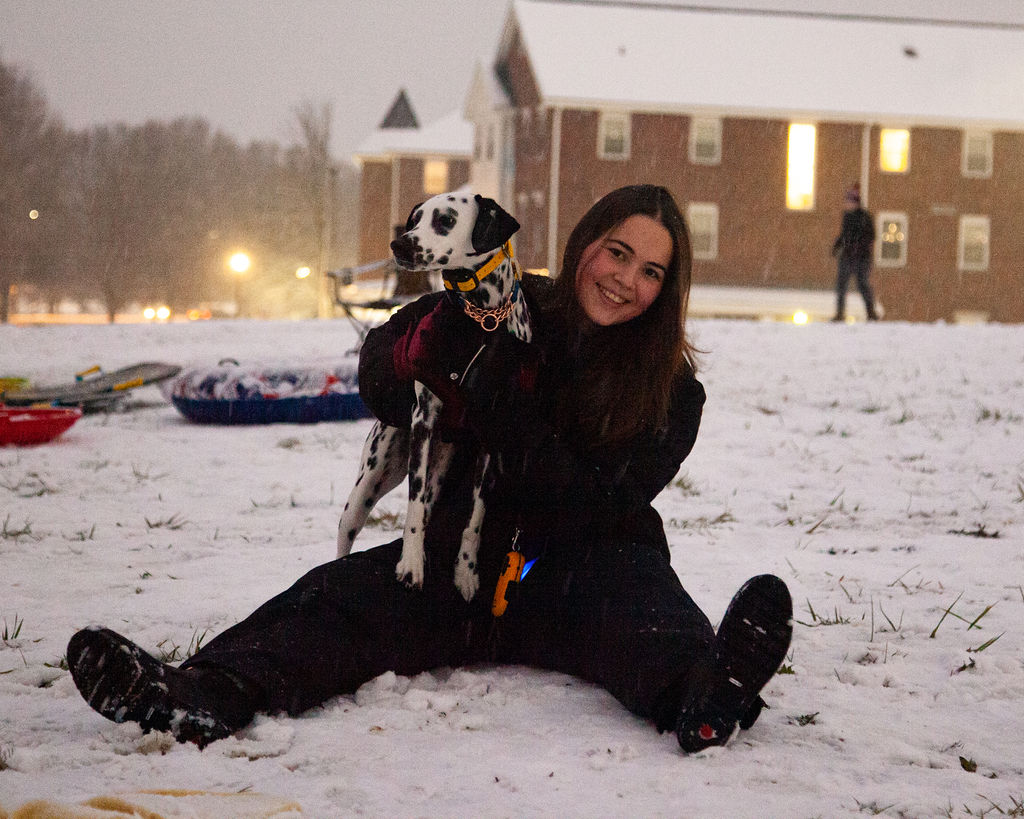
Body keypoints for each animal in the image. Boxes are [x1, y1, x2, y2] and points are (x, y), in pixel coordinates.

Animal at [337, 192, 532, 601]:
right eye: (415, 220)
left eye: (445, 220)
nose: (399, 244)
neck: (482, 321)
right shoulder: (423, 422)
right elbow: (413, 510)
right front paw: (411, 565)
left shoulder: (490, 434)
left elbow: (475, 517)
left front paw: (466, 572)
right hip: (370, 482)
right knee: (347, 535)